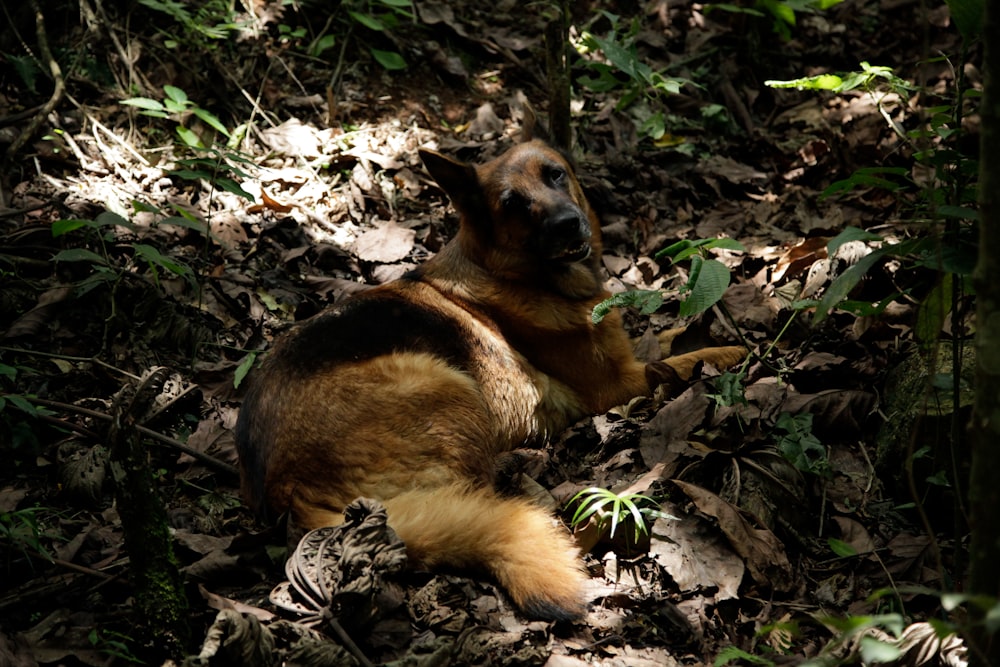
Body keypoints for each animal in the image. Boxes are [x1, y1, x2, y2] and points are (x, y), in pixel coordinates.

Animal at [236, 124, 744, 620]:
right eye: (512, 204)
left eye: (555, 174)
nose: (567, 224)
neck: (510, 272)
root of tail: (287, 491)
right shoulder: (619, 383)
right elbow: (679, 363)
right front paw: (736, 352)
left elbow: (671, 336)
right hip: (448, 388)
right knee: (479, 496)